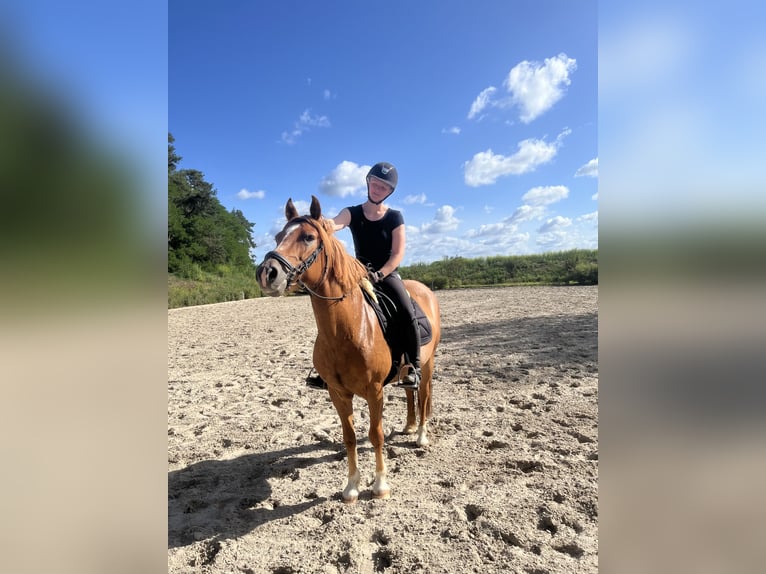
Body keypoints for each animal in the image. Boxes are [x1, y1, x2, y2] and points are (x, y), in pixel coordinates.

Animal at [257, 196, 441, 503]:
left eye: (308, 237)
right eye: (278, 237)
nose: (267, 273)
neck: (347, 329)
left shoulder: (374, 391)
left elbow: (376, 435)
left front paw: (380, 485)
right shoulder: (338, 393)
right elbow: (350, 437)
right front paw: (351, 486)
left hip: (426, 365)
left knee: (424, 394)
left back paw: (421, 436)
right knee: (409, 393)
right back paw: (409, 425)